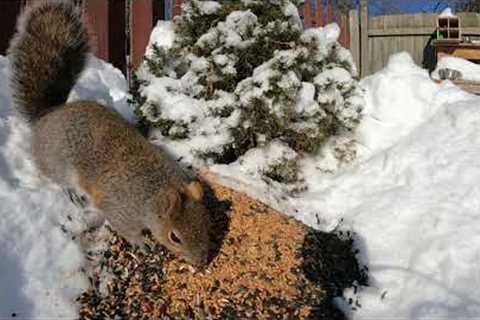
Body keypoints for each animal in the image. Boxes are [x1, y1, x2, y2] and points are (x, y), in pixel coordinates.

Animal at [8, 0, 211, 264]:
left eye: (206, 223)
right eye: (174, 237)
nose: (202, 262)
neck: (154, 193)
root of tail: (48, 115)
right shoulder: (120, 209)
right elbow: (124, 227)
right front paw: (141, 243)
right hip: (59, 163)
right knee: (57, 178)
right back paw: (72, 194)